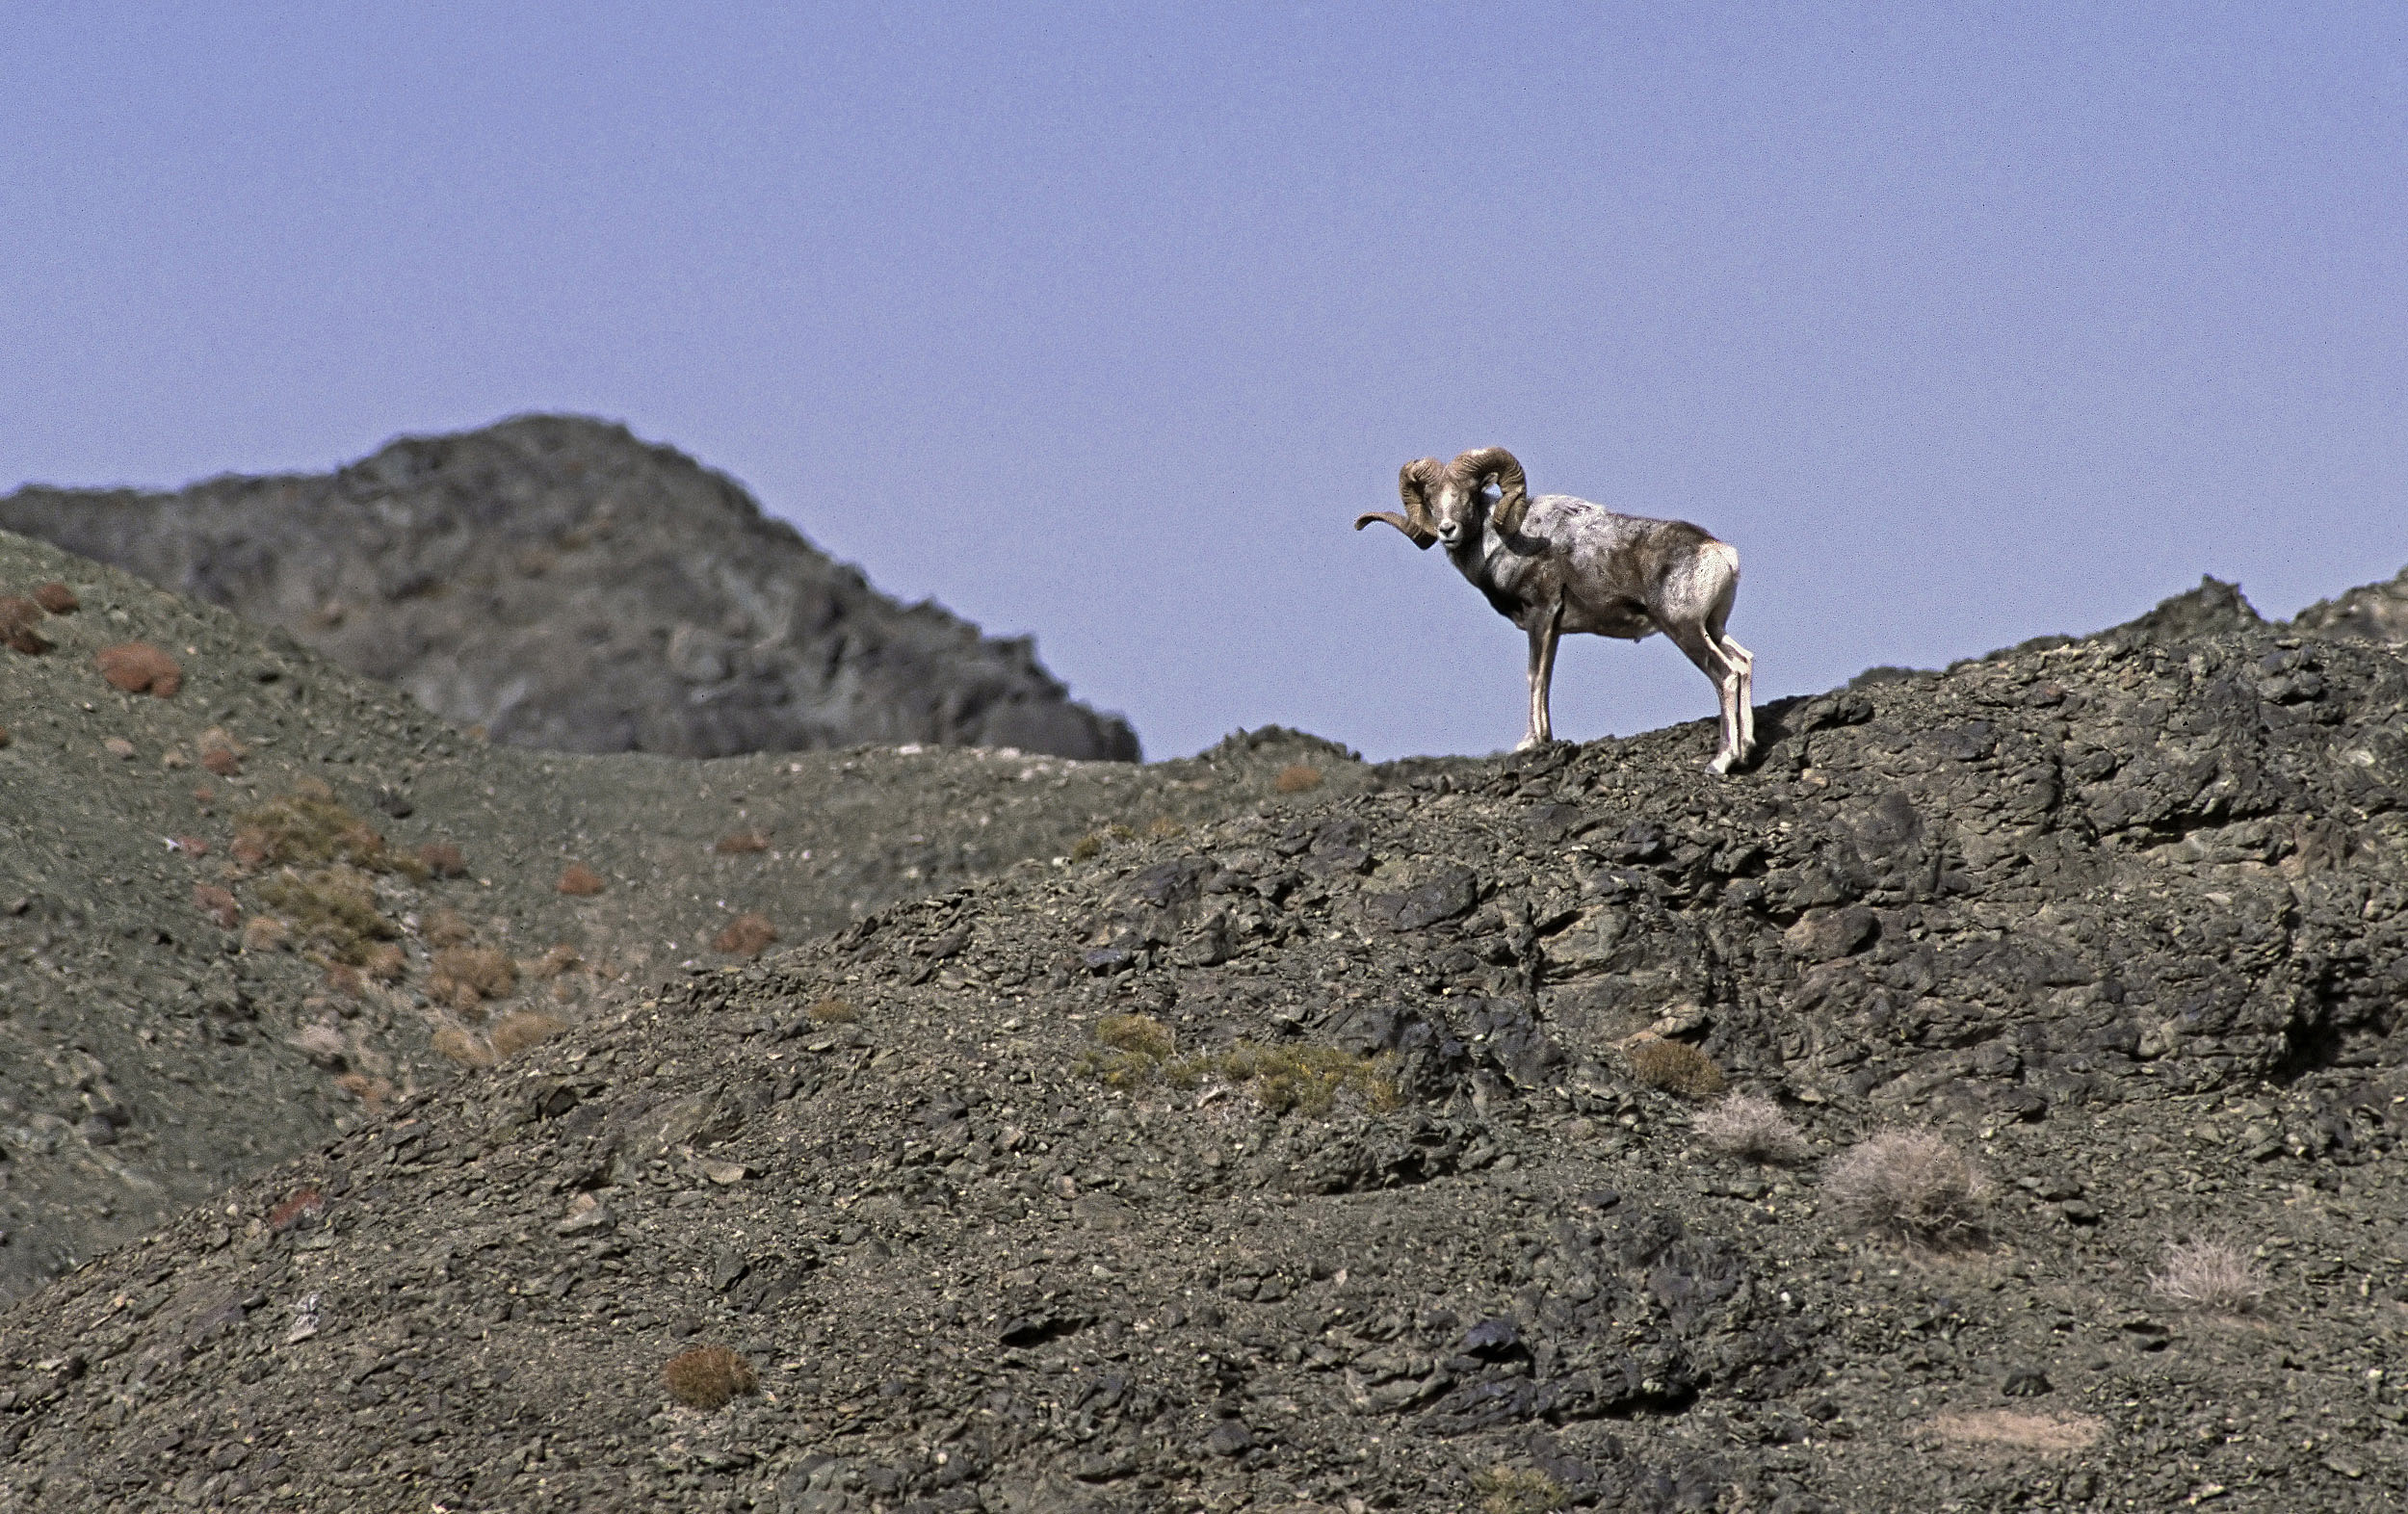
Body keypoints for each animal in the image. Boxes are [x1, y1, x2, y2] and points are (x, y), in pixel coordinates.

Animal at [1358, 440, 1753, 765]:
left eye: (1469, 494)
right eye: (1432, 498)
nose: (1446, 530)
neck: (1504, 544)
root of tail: (1721, 553)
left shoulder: (1541, 615)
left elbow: (1533, 675)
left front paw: (1529, 742)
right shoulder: (1555, 629)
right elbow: (1546, 677)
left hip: (1685, 630)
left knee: (1726, 674)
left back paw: (1722, 761)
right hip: (1713, 628)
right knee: (1744, 662)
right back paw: (1747, 747)